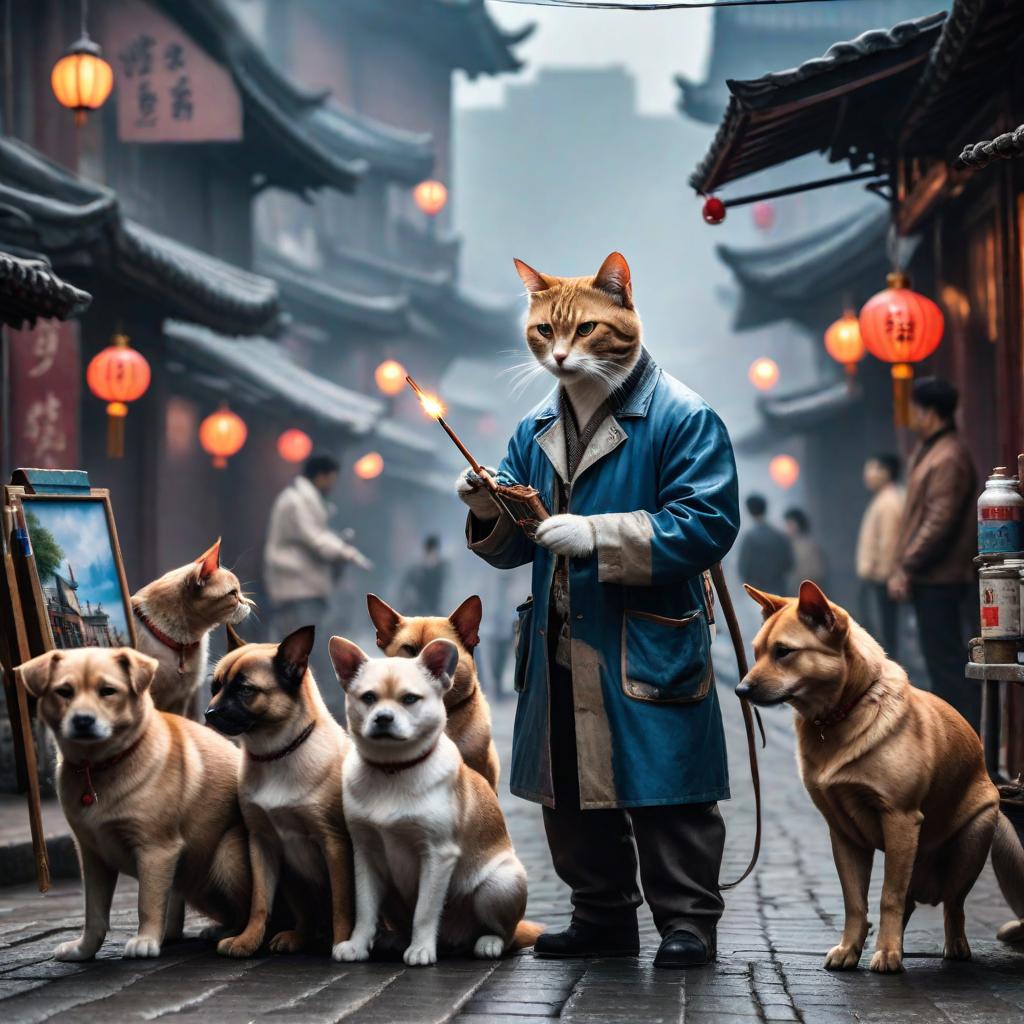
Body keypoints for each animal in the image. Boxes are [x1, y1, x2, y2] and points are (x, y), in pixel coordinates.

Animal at [203, 622, 356, 958]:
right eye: (214, 687)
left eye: (245, 690)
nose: (208, 713)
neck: (275, 754)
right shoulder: (262, 843)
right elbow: (259, 903)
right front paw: (247, 941)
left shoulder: (333, 844)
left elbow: (342, 904)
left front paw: (343, 943)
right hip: (291, 880)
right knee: (307, 917)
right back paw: (297, 936)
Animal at [737, 581, 1024, 970]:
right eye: (756, 653)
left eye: (784, 652)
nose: (740, 690)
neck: (841, 713)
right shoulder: (842, 831)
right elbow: (855, 901)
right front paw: (851, 948)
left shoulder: (899, 817)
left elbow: (888, 895)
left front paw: (887, 953)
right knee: (910, 901)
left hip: (974, 839)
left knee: (951, 904)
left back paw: (952, 946)